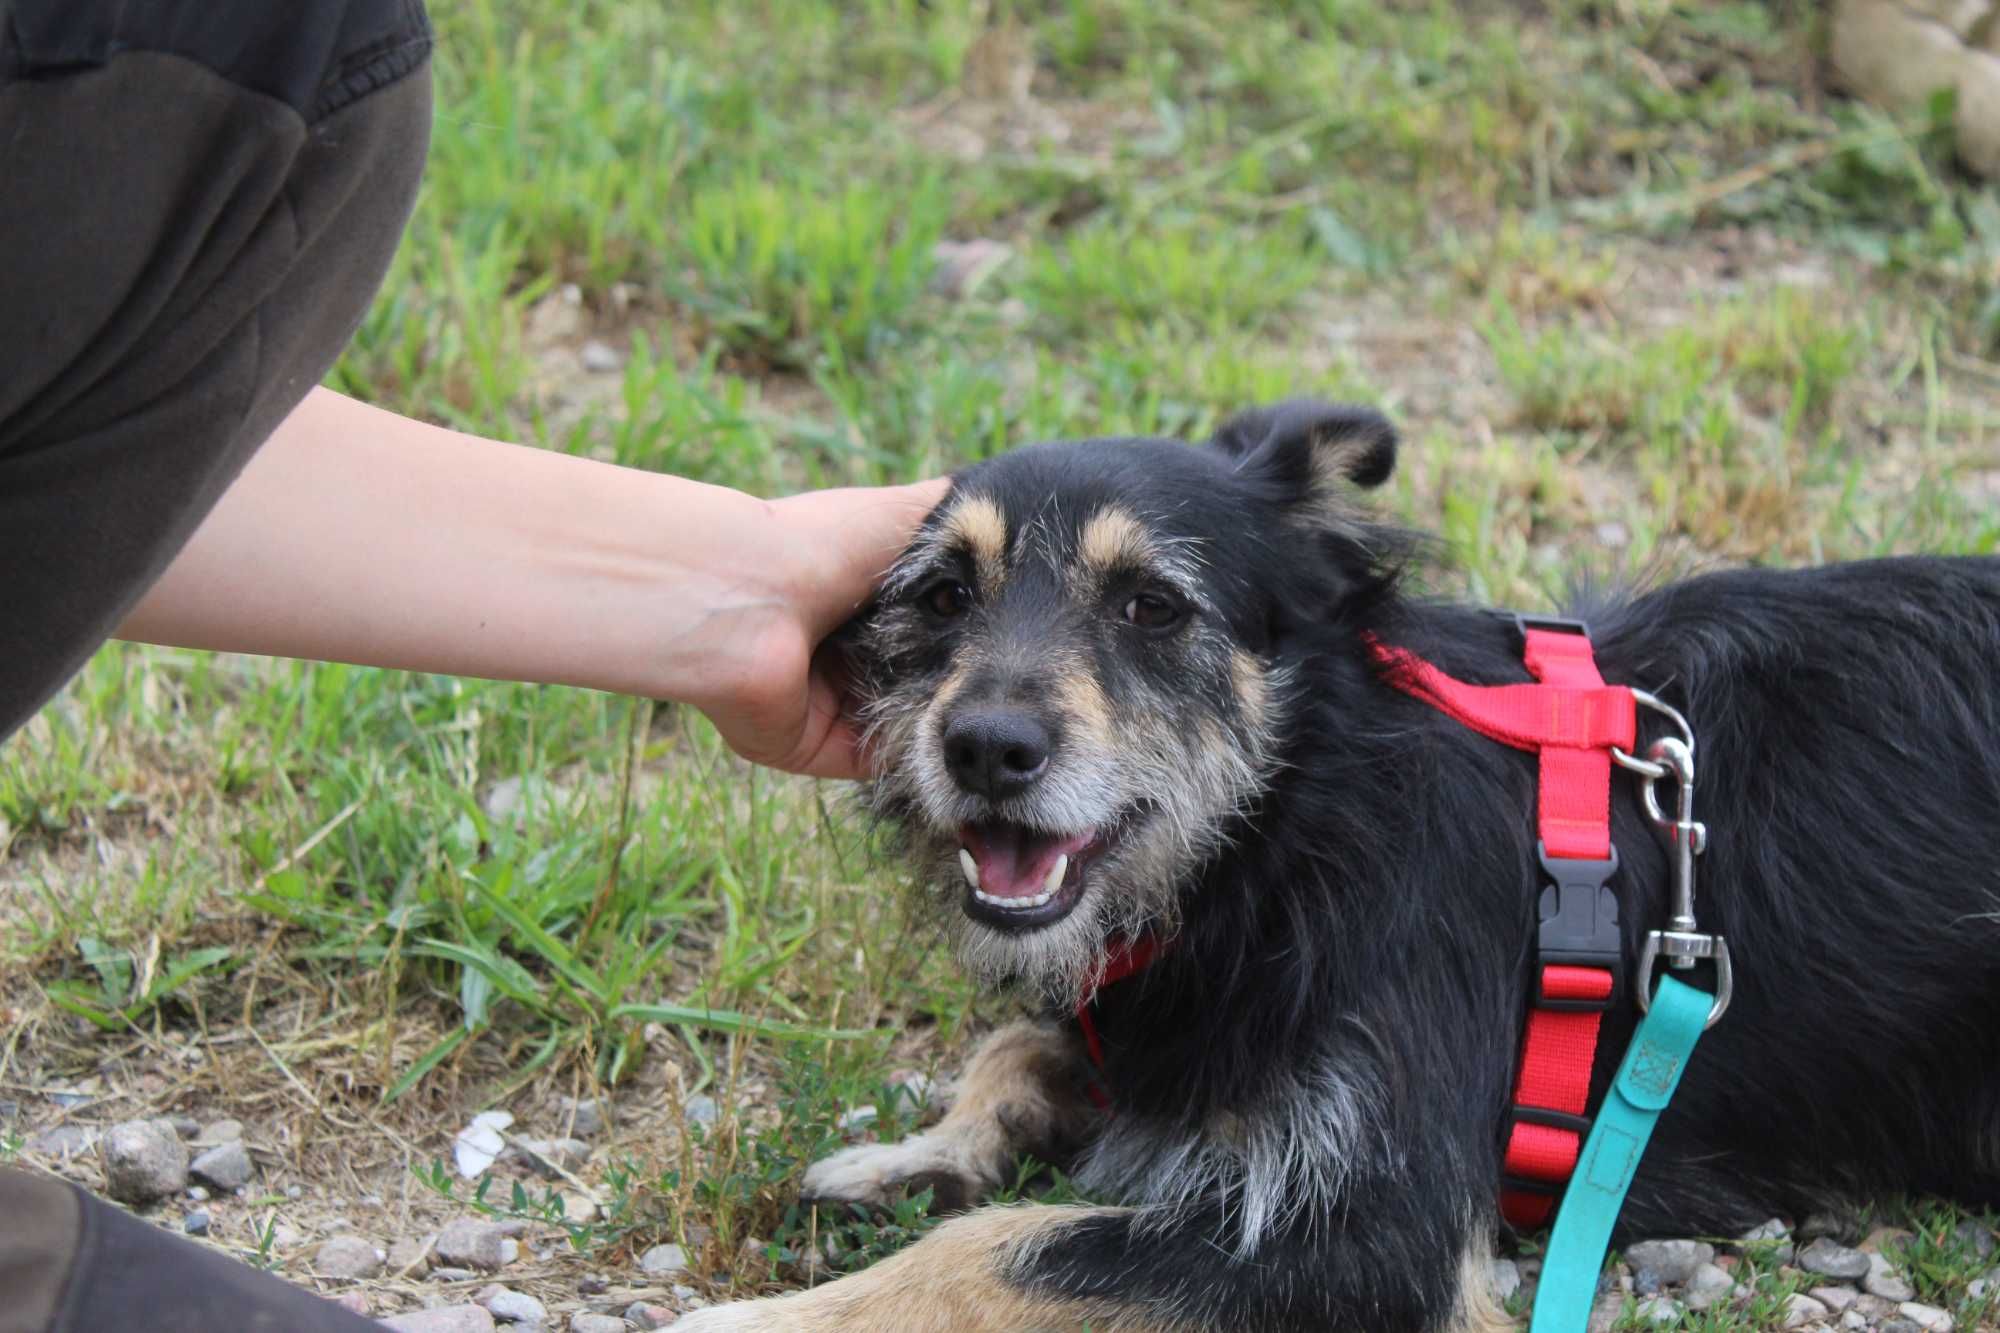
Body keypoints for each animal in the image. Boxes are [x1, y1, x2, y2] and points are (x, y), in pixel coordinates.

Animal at [680, 400, 2000, 1320]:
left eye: (1152, 607)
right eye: (944, 596)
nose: (985, 748)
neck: (1287, 830)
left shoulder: (1369, 1228)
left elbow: (1003, 1246)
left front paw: (763, 1317)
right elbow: (1018, 1047)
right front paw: (919, 1152)